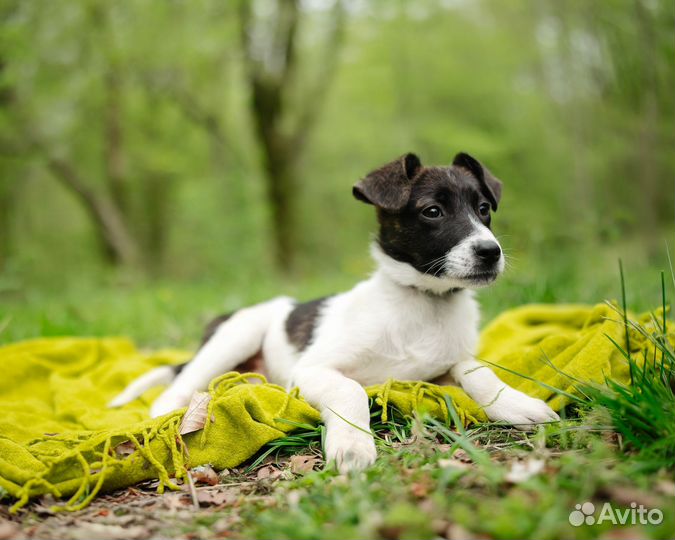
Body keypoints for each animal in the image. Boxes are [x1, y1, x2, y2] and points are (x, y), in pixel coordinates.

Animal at [112, 152, 560, 472]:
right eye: (432, 211)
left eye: (484, 208)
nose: (490, 252)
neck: (422, 302)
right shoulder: (313, 369)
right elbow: (352, 390)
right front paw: (352, 444)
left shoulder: (442, 366)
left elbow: (477, 370)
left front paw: (516, 403)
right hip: (235, 336)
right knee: (177, 386)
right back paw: (166, 417)